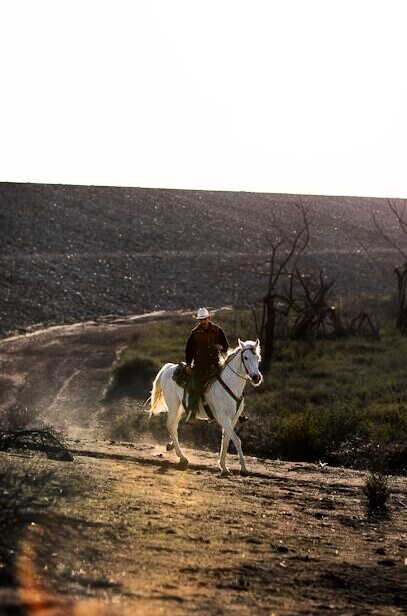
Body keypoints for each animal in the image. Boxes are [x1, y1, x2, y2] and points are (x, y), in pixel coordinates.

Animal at [151, 336, 262, 476]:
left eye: (257, 357)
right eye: (246, 357)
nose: (256, 377)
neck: (230, 384)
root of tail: (169, 368)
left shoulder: (233, 419)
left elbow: (226, 441)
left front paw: (223, 467)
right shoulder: (223, 418)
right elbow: (237, 440)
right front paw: (243, 468)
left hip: (180, 409)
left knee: (174, 427)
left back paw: (173, 448)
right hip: (173, 407)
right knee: (171, 427)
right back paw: (182, 457)